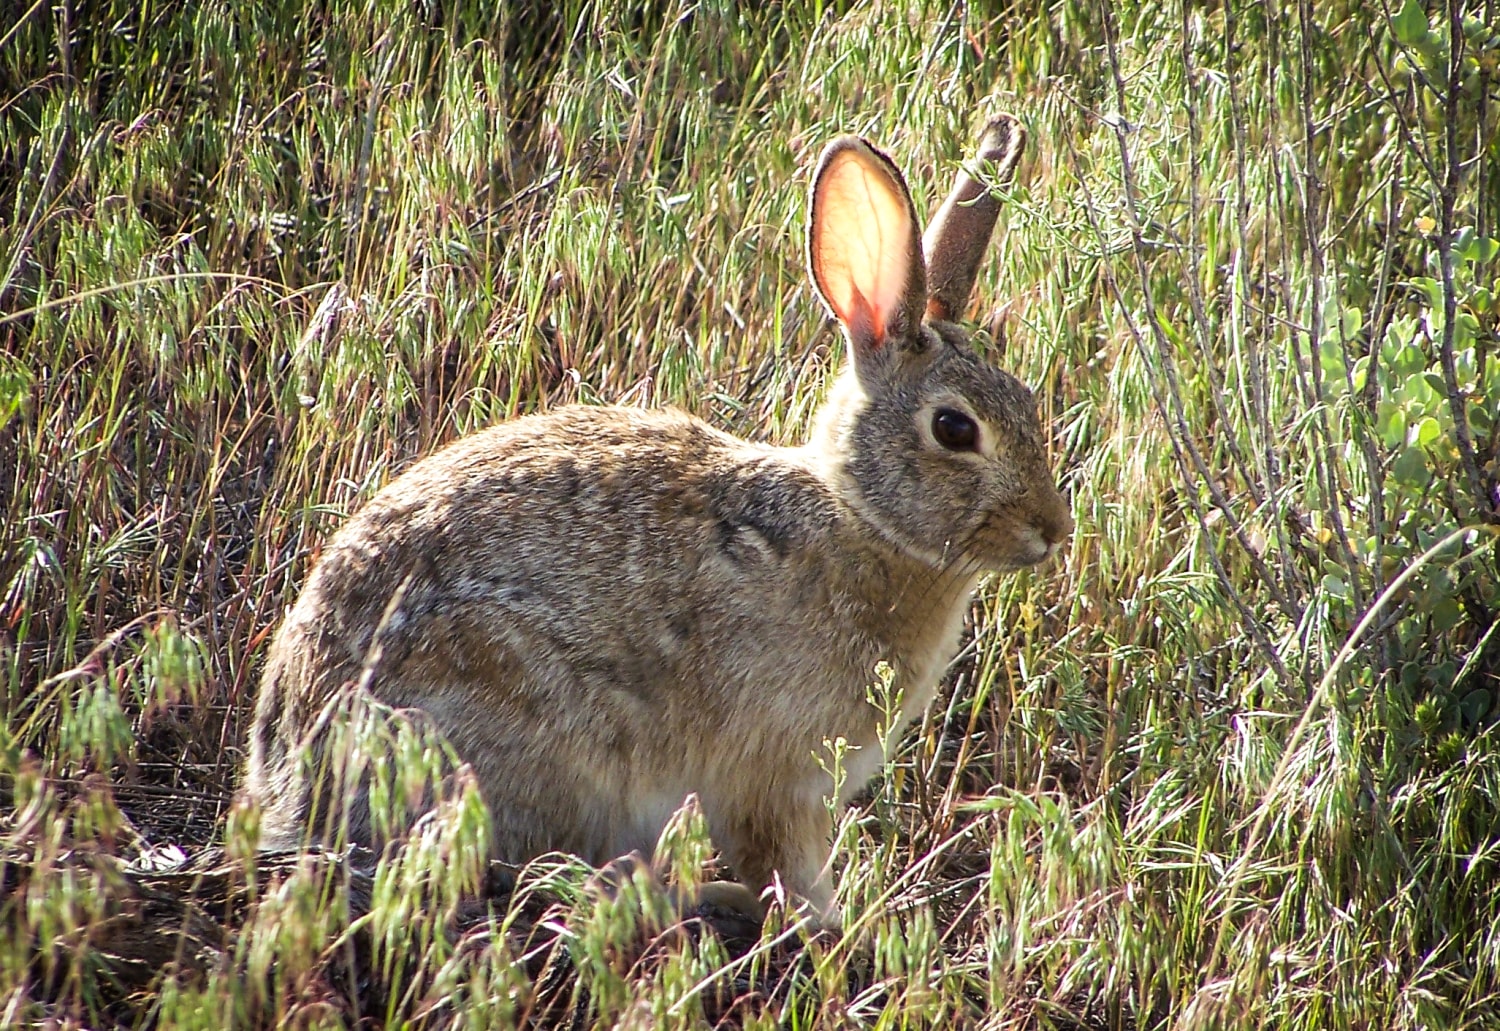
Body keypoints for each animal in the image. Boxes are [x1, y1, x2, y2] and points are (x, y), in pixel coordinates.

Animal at [243, 114, 1068, 930]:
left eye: (1028, 400)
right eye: (955, 429)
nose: (1052, 528)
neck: (857, 516)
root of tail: (290, 781)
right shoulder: (773, 780)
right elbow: (786, 868)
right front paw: (837, 927)